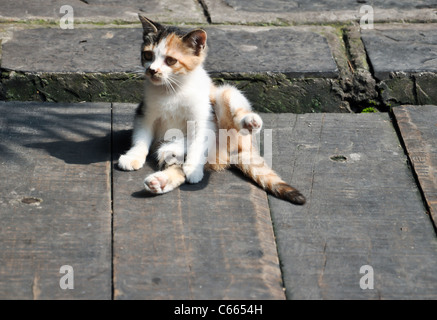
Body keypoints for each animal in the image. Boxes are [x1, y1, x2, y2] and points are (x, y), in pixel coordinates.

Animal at [117, 14, 304, 205]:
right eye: (148, 54)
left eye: (170, 60)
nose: (152, 70)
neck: (172, 90)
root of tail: (237, 151)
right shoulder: (144, 113)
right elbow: (141, 138)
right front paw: (133, 156)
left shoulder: (203, 117)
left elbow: (199, 141)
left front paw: (193, 166)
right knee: (177, 166)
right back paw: (160, 179)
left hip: (222, 97)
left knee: (228, 110)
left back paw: (249, 122)